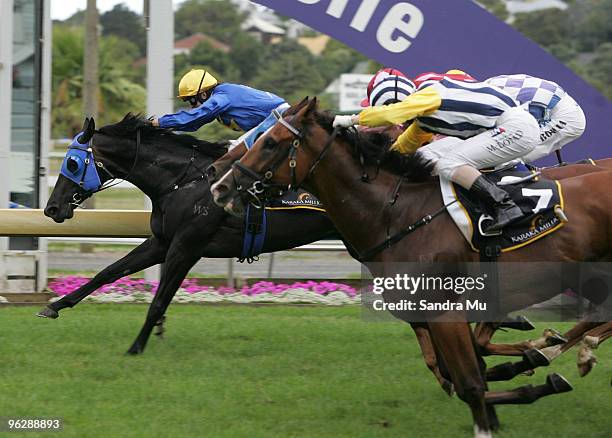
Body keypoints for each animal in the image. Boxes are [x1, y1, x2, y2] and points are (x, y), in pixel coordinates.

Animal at [40, 114, 338, 354]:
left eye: (73, 163)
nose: (51, 208)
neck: (183, 182)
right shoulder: (162, 242)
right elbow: (109, 272)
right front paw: (54, 306)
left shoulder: (186, 247)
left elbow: (159, 301)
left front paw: (136, 347)